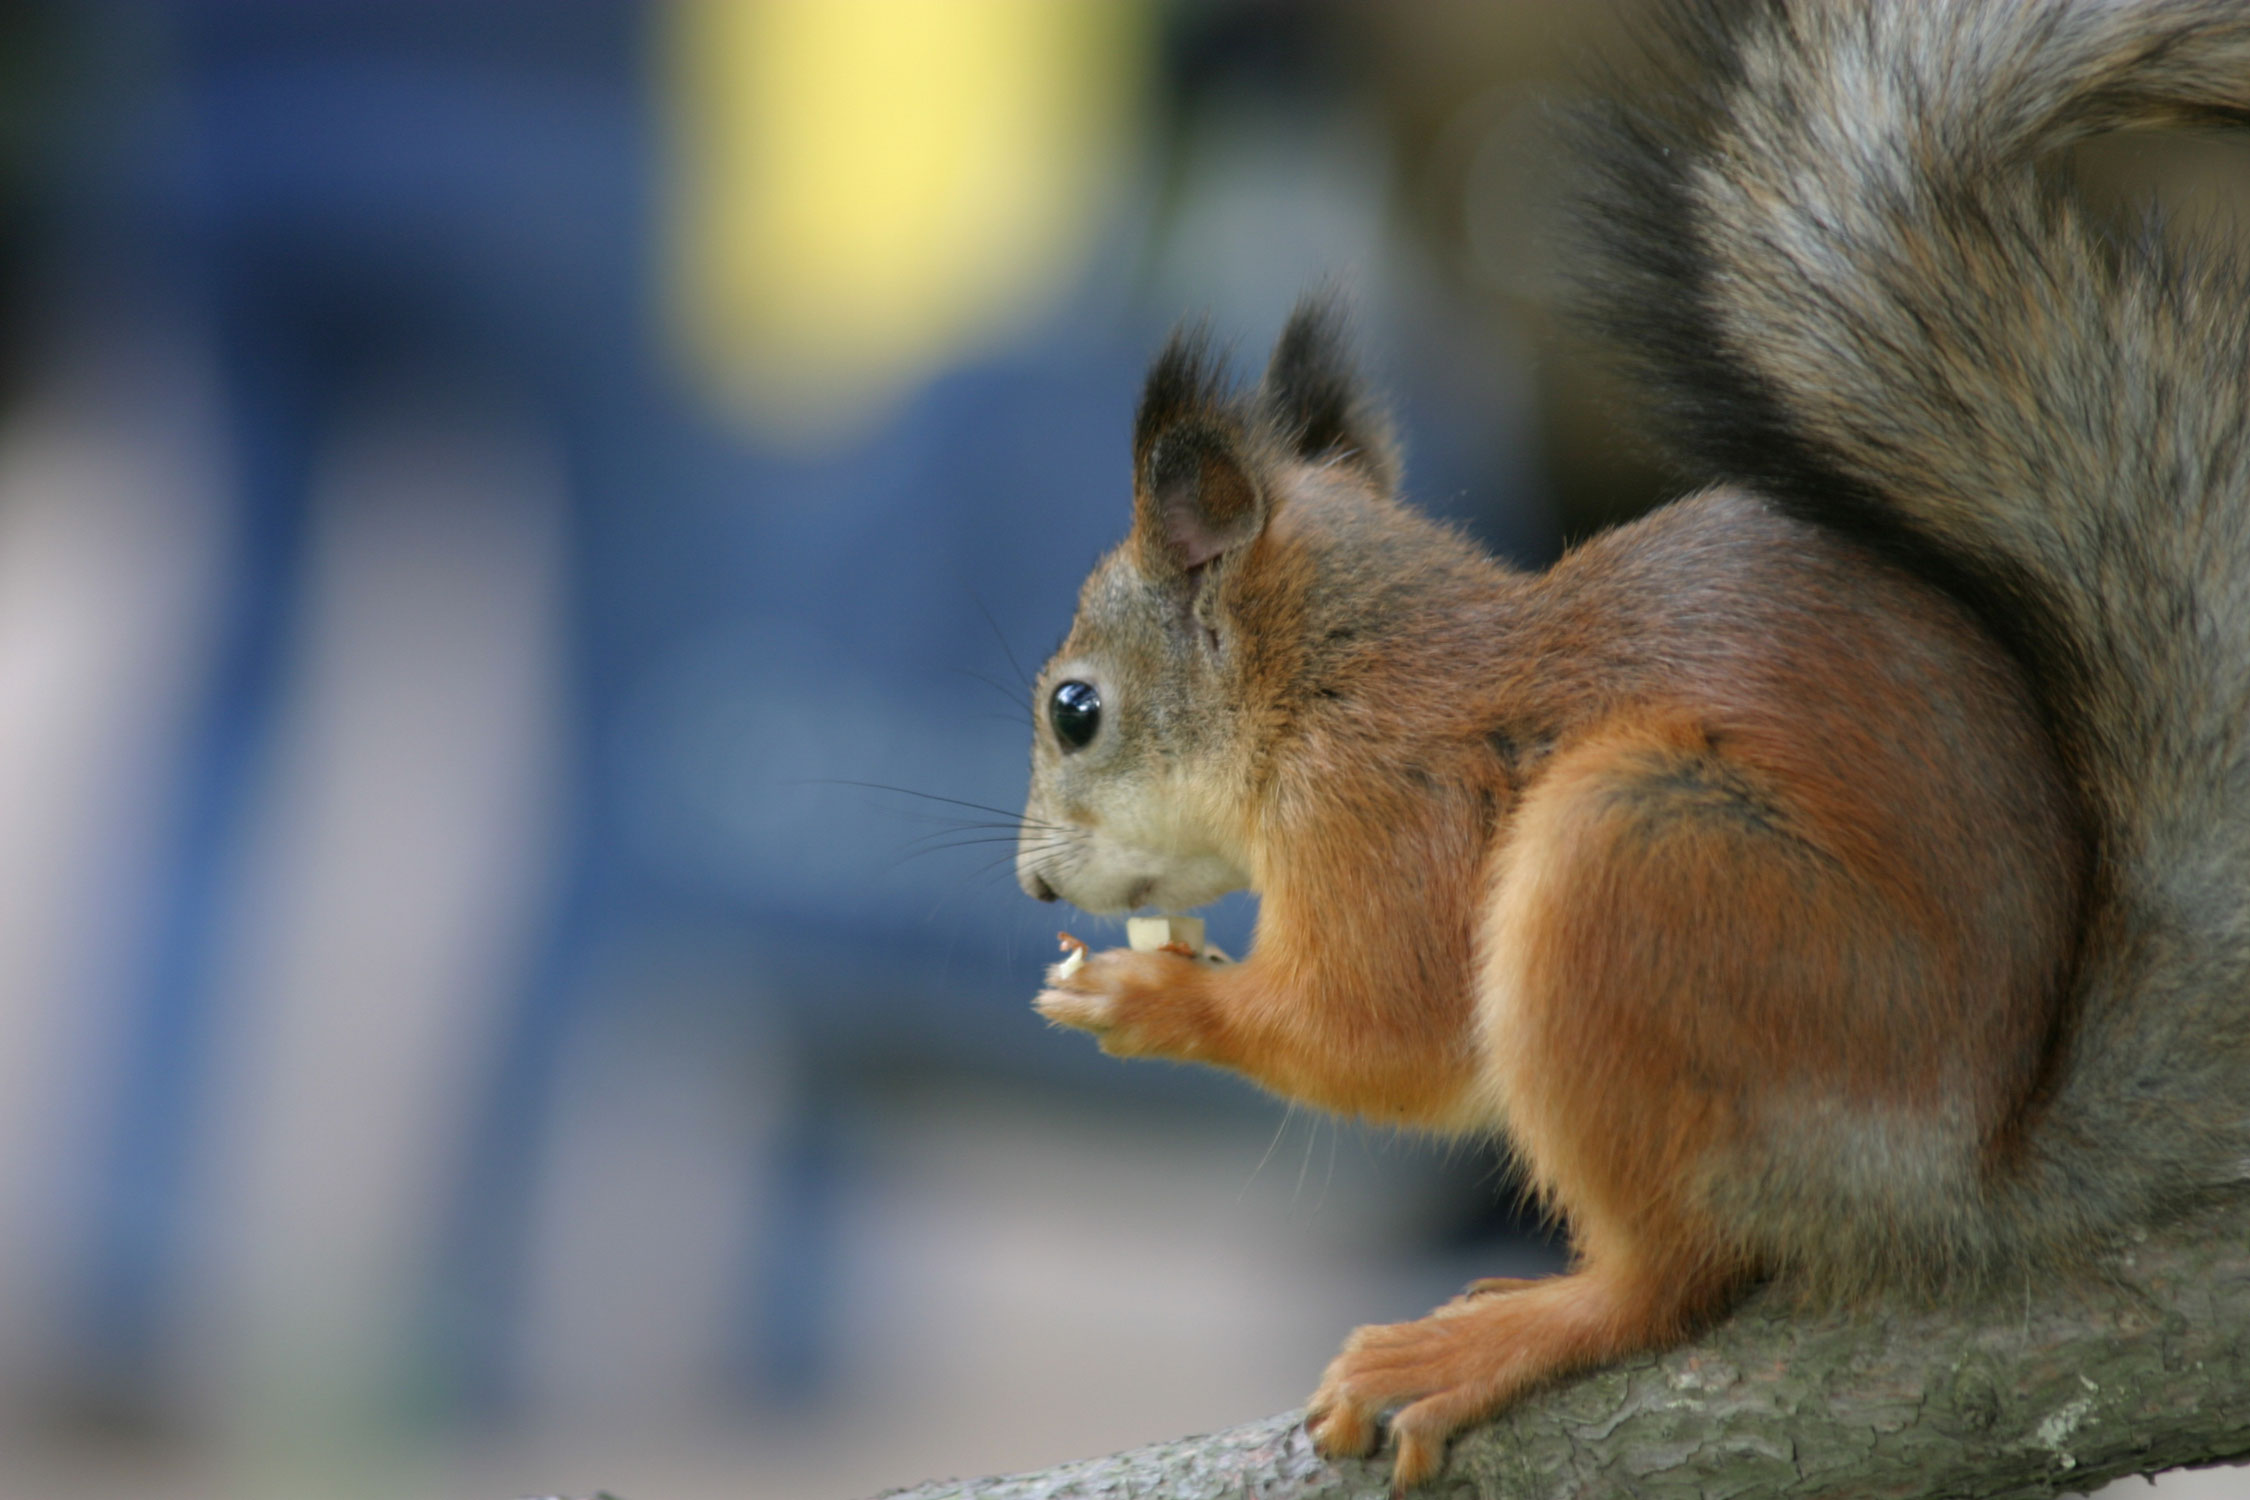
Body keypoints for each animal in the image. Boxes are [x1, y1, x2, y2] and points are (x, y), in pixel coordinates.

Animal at [1017, 0, 2250, 1493]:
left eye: (1075, 710)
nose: (1032, 879)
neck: (1329, 678)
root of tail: (1964, 1178)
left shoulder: (1382, 810)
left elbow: (1390, 1031)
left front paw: (1148, 999)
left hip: (1644, 872)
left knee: (1667, 1283)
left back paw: (1501, 1334)